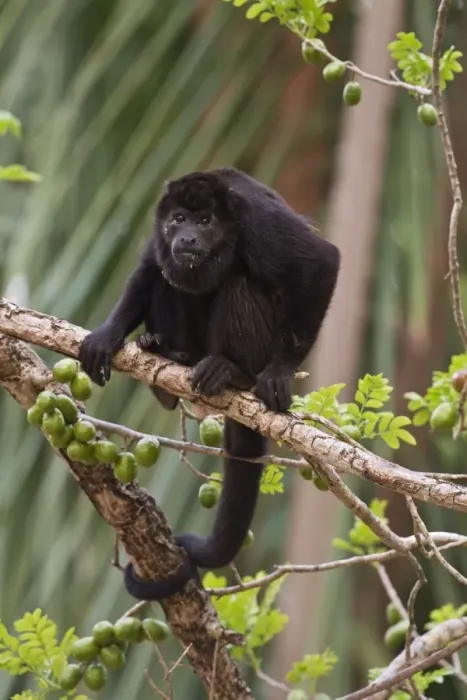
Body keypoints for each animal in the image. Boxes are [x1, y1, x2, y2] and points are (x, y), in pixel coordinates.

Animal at [78, 167, 340, 600]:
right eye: (178, 219)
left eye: (204, 221)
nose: (186, 238)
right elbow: (148, 268)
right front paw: (108, 333)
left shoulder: (258, 221)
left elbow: (321, 261)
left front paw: (281, 371)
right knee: (167, 279)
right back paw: (166, 358)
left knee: (239, 285)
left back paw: (233, 371)